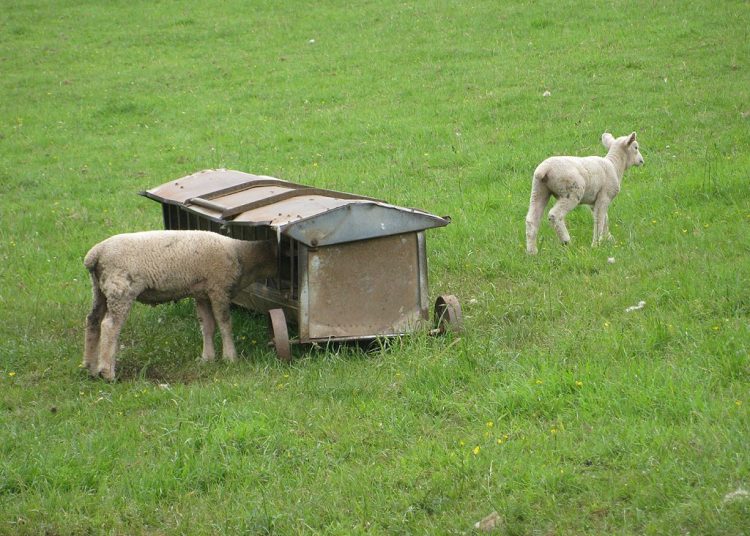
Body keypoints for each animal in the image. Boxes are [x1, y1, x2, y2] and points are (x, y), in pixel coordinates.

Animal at [82, 230, 277, 380]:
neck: (241, 254)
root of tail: (95, 254)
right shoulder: (219, 289)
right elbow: (225, 324)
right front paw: (230, 357)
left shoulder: (202, 293)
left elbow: (207, 326)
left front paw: (207, 358)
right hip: (121, 289)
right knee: (110, 326)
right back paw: (107, 373)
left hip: (99, 289)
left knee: (92, 321)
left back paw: (89, 367)